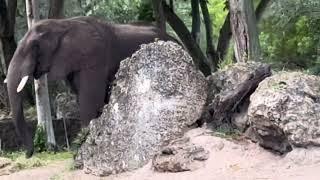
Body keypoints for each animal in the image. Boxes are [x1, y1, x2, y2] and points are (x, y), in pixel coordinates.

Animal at [6, 16, 178, 157]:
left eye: (35, 46)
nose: (28, 154)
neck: (62, 23)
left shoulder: (93, 57)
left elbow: (90, 99)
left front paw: (84, 147)